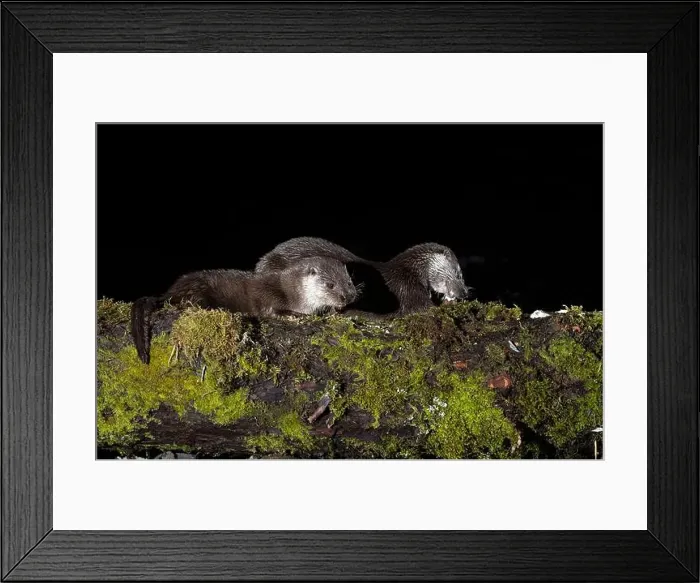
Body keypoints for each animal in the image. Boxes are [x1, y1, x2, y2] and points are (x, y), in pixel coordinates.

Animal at [131, 256, 357, 364]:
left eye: (349, 281)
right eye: (330, 285)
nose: (347, 297)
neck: (293, 291)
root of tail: (171, 291)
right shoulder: (271, 295)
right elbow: (273, 311)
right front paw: (298, 316)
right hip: (197, 291)